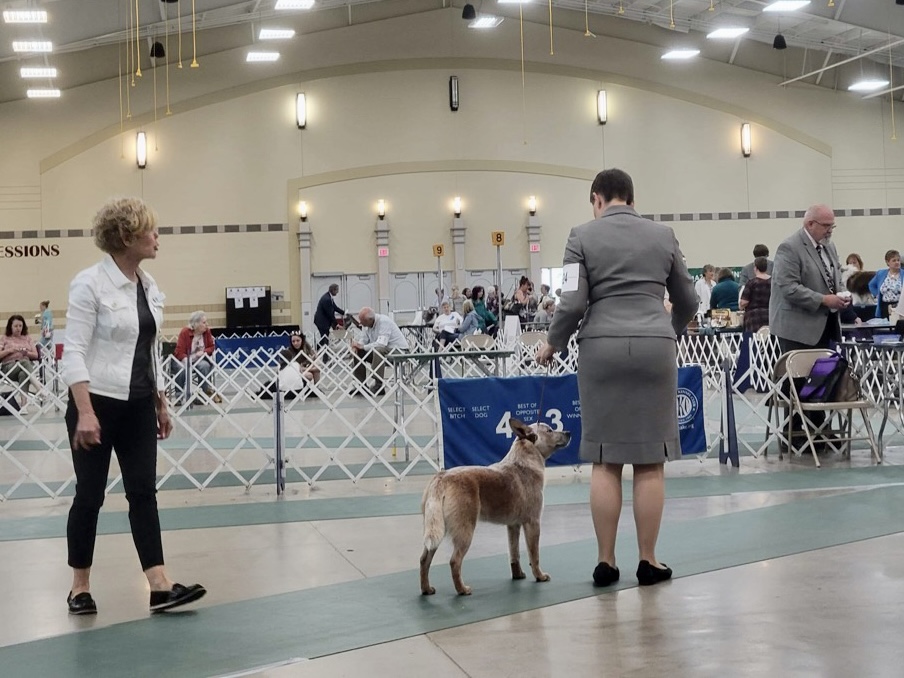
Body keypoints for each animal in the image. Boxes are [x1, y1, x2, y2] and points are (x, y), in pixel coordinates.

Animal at [418, 418, 572, 596]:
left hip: (435, 531)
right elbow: (534, 555)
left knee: (424, 560)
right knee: (454, 561)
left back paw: (426, 589)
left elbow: (514, 554)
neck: (524, 462)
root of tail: (442, 477)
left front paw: (518, 575)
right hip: (465, 531)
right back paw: (462, 589)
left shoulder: (513, 526)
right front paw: (539, 576)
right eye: (549, 430)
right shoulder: (533, 522)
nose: (569, 432)